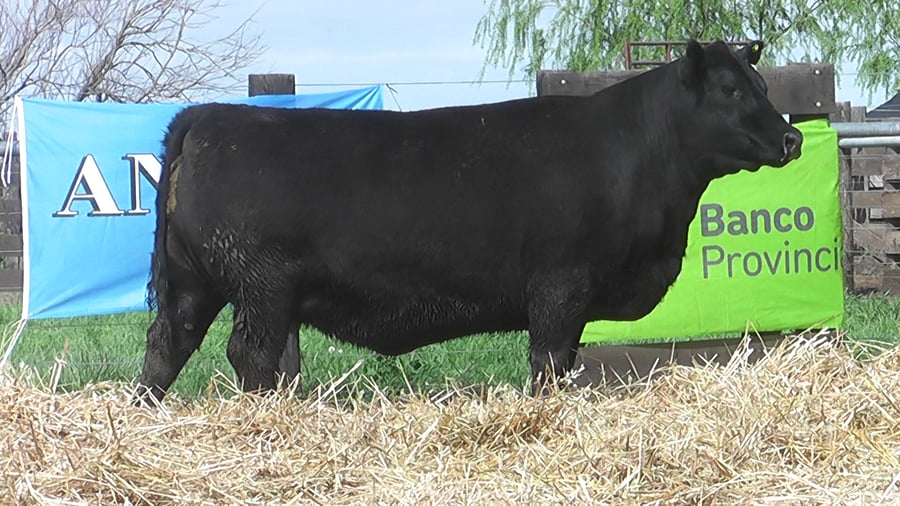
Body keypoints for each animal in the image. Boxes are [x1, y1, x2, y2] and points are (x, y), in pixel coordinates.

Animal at [135, 40, 802, 404]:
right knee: (250, 356)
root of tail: (211, 115)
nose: (792, 138)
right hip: (262, 287)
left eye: (762, 83)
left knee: (167, 345)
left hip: (197, 283)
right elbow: (549, 363)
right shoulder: (561, 285)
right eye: (730, 89)